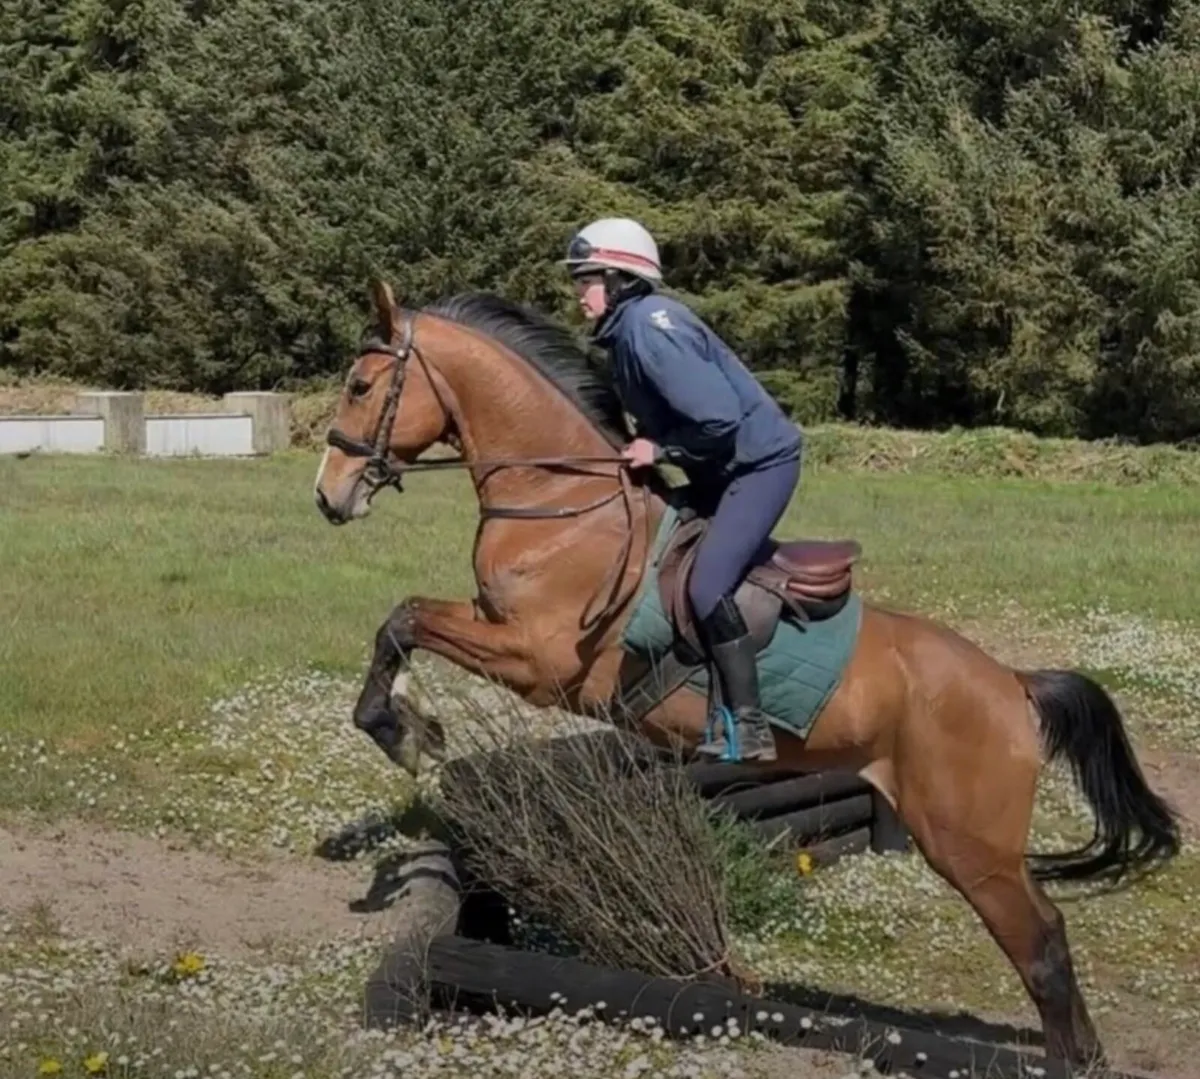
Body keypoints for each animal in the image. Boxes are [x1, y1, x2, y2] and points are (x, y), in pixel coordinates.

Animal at [313, 279, 1181, 1071]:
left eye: (359, 385)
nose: (327, 496)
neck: (562, 502)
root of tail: (1012, 684)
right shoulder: (504, 632)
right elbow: (405, 619)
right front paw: (410, 730)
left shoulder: (538, 657)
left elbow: (407, 619)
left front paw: (401, 730)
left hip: (970, 843)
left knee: (1041, 938)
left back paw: (1071, 1056)